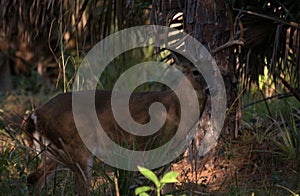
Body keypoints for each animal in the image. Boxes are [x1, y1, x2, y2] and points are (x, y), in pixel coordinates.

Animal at [21, 56, 209, 194]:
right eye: (195, 71)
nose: (209, 89)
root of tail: (37, 113)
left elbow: (167, 185)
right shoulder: (153, 146)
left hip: (57, 148)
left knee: (33, 177)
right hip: (77, 145)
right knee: (80, 189)